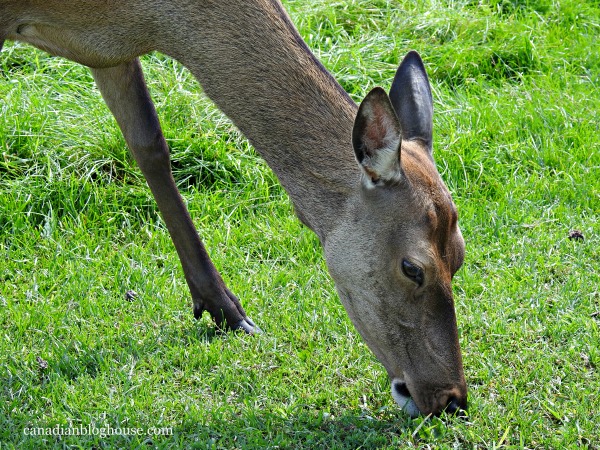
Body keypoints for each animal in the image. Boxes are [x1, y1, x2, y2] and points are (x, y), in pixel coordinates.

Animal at [0, 0, 468, 418]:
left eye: (460, 257)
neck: (144, 19)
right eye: (412, 267)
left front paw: (225, 310)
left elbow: (150, 144)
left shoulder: (109, 50)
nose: (451, 399)